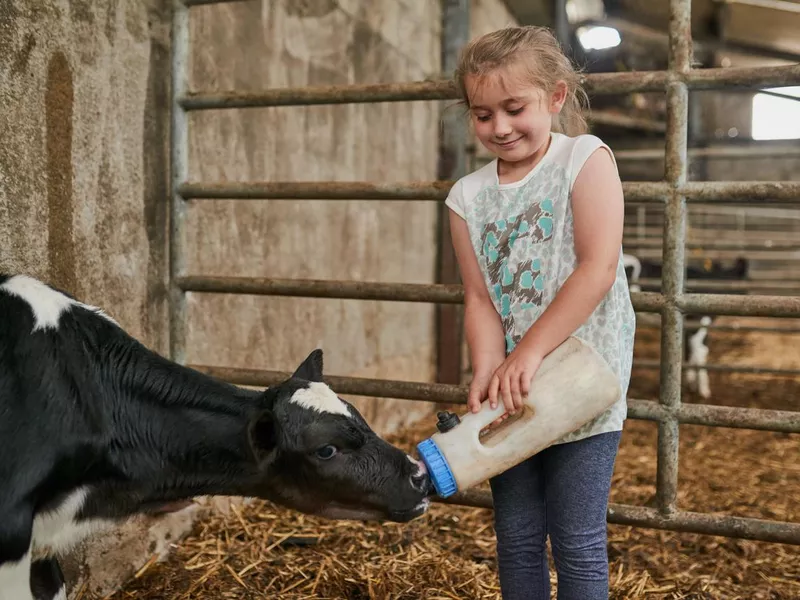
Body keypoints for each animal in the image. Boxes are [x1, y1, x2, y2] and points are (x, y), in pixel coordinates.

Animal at [624, 253, 752, 398]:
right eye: (747, 278)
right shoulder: (699, 322)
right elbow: (700, 351)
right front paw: (704, 390)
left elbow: (688, 350)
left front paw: (690, 382)